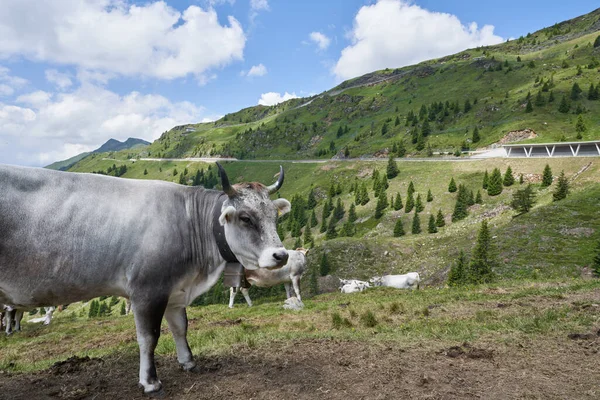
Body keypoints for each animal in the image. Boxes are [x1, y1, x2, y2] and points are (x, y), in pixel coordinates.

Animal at [0, 162, 290, 394]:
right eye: (245, 218)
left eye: (274, 216)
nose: (281, 255)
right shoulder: (147, 290)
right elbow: (149, 337)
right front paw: (150, 382)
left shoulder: (176, 290)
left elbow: (180, 327)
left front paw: (188, 362)